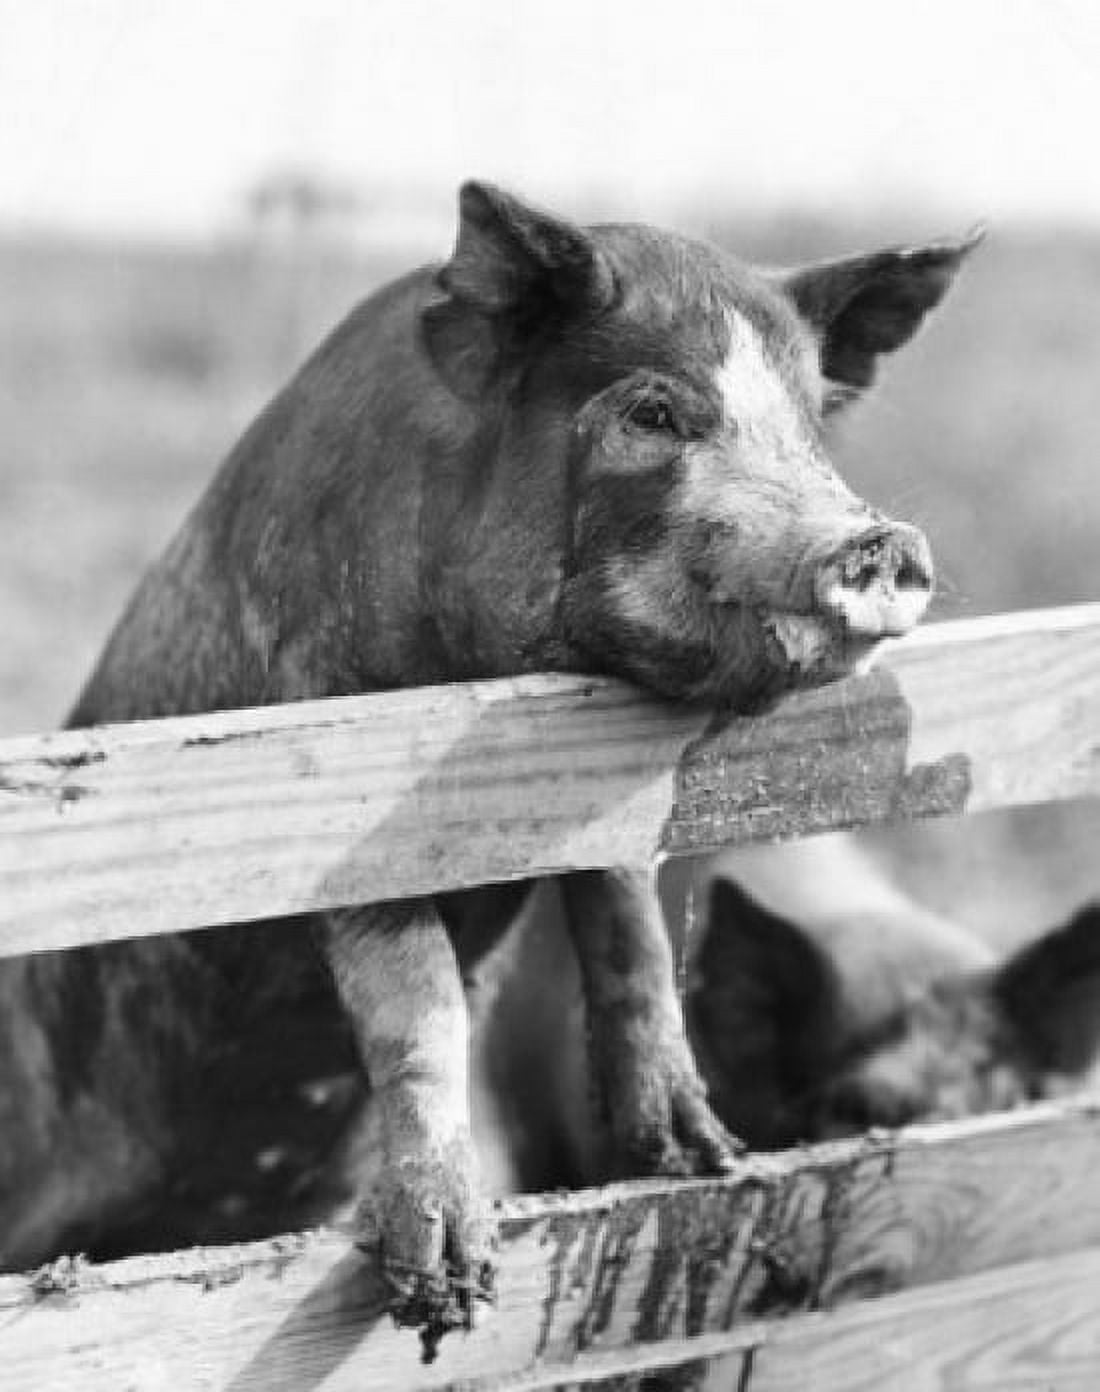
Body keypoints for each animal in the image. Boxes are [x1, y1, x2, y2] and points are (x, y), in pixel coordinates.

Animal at [13, 182, 977, 1340]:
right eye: (653, 415)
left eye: (809, 425)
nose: (879, 542)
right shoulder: (337, 761)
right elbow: (419, 988)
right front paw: (446, 1298)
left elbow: (630, 928)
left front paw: (701, 1160)